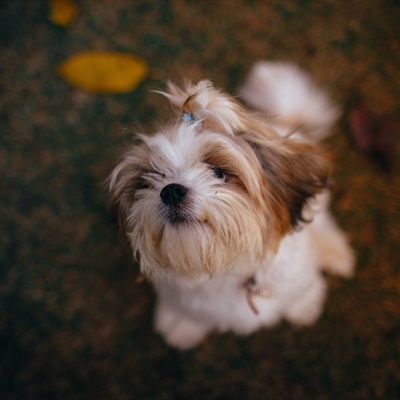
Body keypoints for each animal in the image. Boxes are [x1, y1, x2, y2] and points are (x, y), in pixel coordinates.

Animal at [108, 61, 354, 350]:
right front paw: (182, 323)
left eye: (218, 172)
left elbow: (301, 289)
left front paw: (303, 305)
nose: (171, 191)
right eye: (149, 178)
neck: (226, 266)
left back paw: (334, 252)